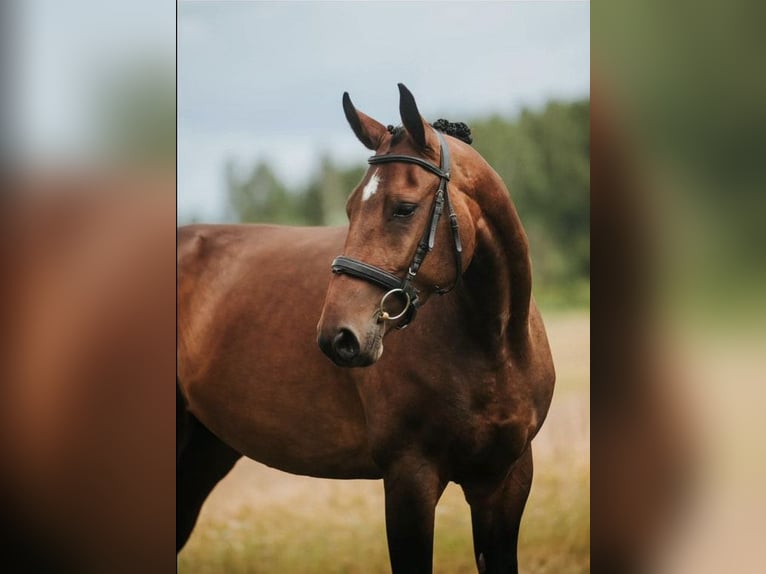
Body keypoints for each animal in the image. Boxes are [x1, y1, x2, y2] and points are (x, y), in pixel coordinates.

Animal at [177, 83, 556, 572]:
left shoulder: (506, 481)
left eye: (404, 209)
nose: (338, 337)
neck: (495, 348)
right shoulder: (409, 478)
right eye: (350, 208)